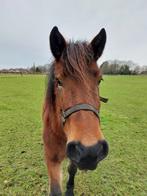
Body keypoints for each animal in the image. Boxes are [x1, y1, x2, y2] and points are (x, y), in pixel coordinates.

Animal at [42, 26, 108, 196]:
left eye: (99, 80)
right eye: (59, 81)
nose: (91, 151)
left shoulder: (74, 155)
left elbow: (72, 169)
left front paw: (70, 189)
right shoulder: (51, 158)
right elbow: (55, 189)